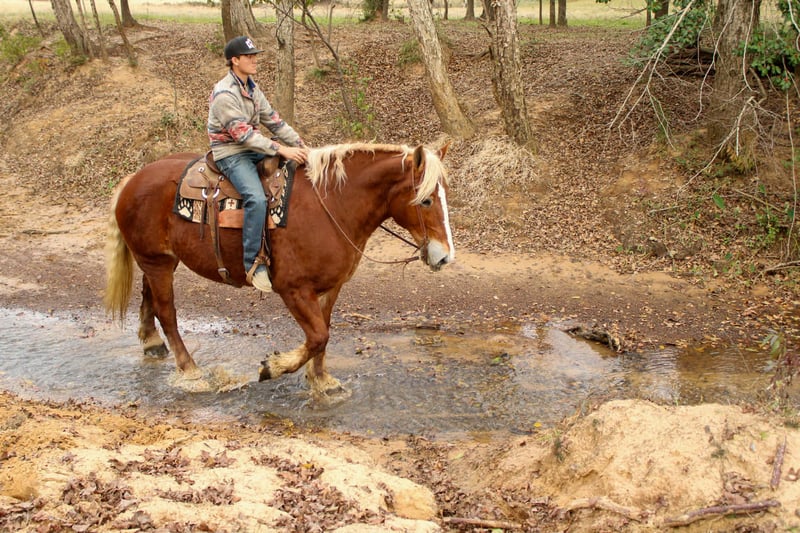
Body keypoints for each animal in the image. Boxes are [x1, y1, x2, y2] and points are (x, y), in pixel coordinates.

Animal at [103, 142, 454, 396]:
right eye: (425, 200)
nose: (444, 257)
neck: (332, 205)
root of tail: (132, 179)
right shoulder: (293, 289)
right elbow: (318, 336)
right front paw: (273, 367)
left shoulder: (330, 288)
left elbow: (323, 334)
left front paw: (321, 379)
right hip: (157, 262)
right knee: (167, 312)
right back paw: (189, 370)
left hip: (159, 260)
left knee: (148, 296)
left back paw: (152, 344)